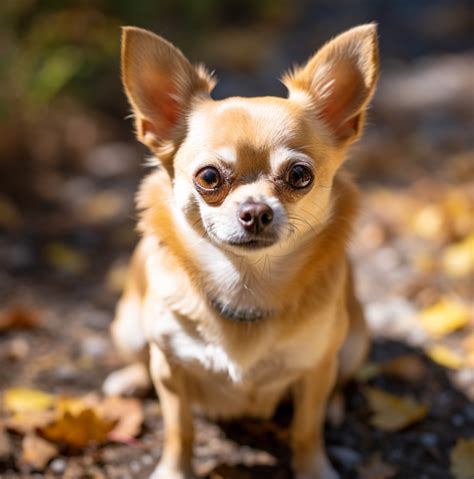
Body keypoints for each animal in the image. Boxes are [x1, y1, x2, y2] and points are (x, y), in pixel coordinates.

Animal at [103, 24, 378, 479]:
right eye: (209, 177)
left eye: (299, 175)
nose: (255, 211)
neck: (245, 284)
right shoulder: (170, 370)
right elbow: (180, 429)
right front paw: (174, 470)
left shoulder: (316, 368)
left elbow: (307, 428)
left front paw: (314, 469)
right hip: (128, 327)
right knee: (141, 361)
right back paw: (129, 379)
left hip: (355, 339)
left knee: (339, 383)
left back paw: (337, 408)